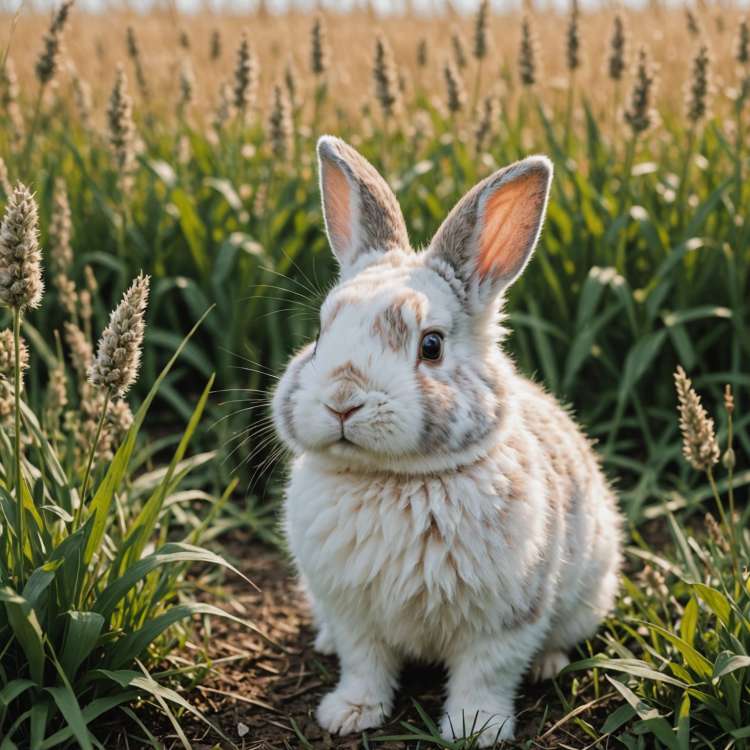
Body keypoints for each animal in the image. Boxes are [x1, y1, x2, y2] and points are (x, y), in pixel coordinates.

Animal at [272, 135, 623, 746]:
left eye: (430, 346)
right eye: (318, 336)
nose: (342, 400)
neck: (395, 480)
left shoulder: (505, 618)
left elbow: (486, 674)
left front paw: (474, 730)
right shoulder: (353, 611)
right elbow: (364, 664)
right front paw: (348, 714)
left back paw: (548, 664)